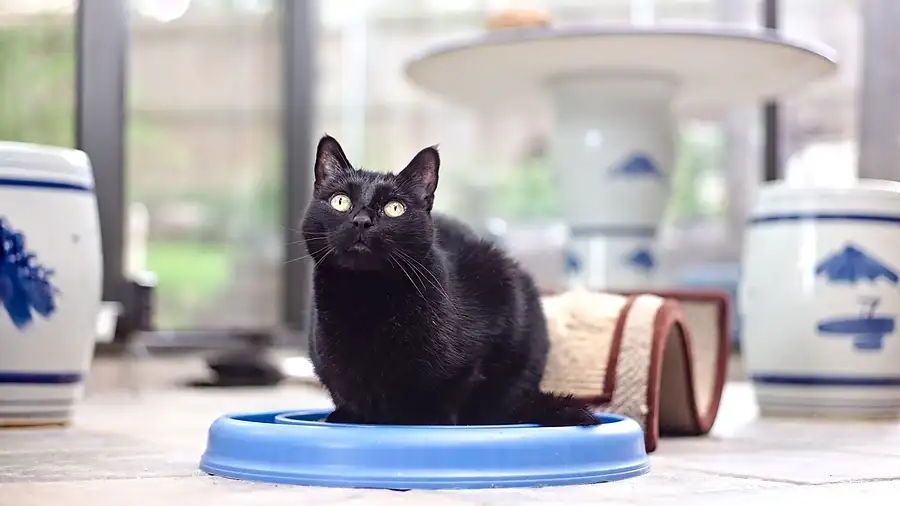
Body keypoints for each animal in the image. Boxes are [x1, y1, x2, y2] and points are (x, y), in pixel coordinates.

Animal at [302, 135, 597, 427]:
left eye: (394, 208)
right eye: (340, 202)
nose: (361, 221)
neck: (367, 298)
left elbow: (450, 391)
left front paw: (431, 420)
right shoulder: (326, 361)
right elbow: (343, 389)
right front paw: (346, 415)